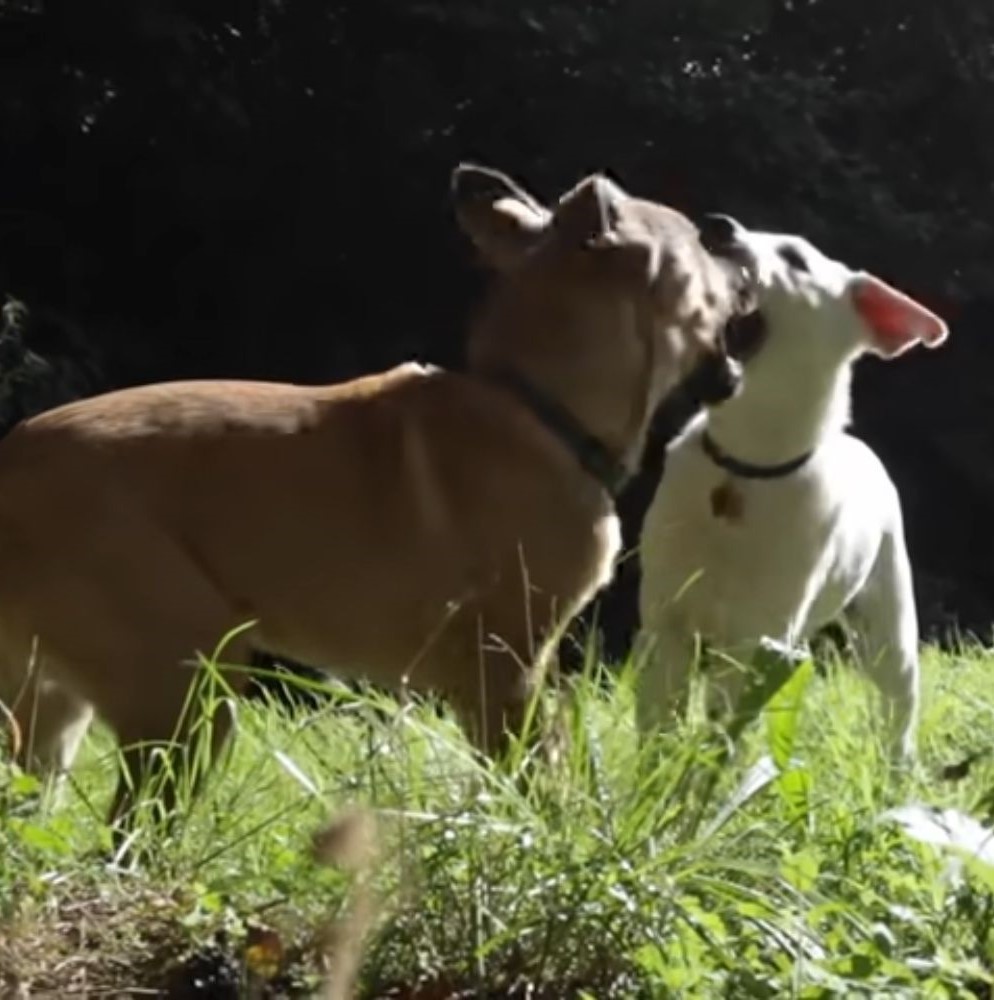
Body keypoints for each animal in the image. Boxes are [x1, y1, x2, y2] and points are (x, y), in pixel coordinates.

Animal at [0, 162, 752, 820]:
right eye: (699, 245)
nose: (725, 228)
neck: (535, 406)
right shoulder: (505, 667)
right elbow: (534, 776)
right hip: (186, 681)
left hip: (50, 710)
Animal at [636, 215, 944, 760]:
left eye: (797, 259)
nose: (716, 227)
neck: (745, 467)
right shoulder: (665, 620)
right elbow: (660, 718)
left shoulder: (754, 637)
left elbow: (725, 729)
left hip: (888, 624)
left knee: (898, 705)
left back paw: (899, 766)